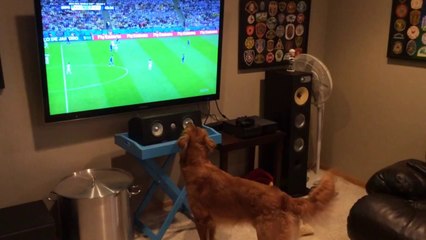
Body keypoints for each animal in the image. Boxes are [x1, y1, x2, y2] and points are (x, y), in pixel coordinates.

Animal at [177, 124, 336, 239]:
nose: (189, 122)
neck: (198, 163)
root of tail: (285, 197)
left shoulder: (200, 220)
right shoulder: (212, 223)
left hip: (267, 234)